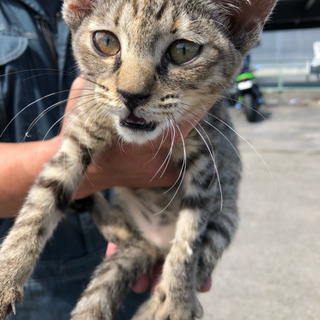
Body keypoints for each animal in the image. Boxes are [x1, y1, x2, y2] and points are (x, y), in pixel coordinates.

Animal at [0, 0, 276, 320]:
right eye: (106, 42)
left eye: (183, 51)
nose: (131, 95)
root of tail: (153, 244)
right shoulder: (79, 131)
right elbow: (40, 201)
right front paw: (7, 273)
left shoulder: (208, 159)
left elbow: (188, 243)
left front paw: (178, 301)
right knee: (120, 232)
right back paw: (90, 204)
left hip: (225, 216)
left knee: (195, 256)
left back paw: (158, 304)